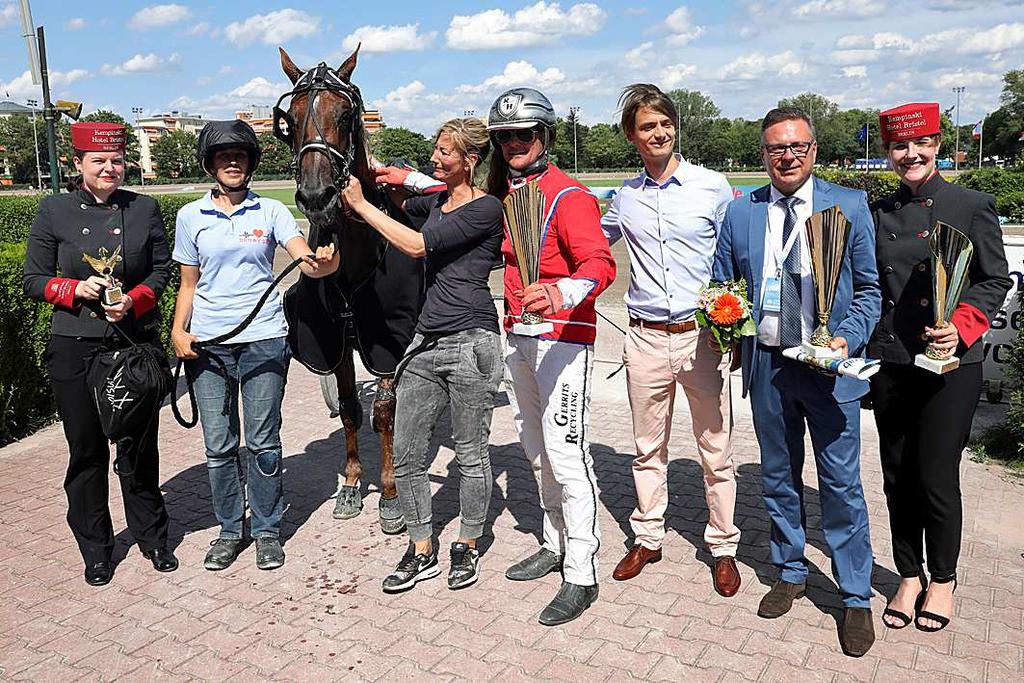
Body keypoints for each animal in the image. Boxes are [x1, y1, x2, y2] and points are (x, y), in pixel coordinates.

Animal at [272, 48, 423, 536]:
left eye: (344, 114)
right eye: (291, 118)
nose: (317, 196)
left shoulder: (388, 342)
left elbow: (385, 413)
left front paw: (391, 495)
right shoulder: (337, 340)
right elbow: (351, 409)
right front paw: (354, 485)